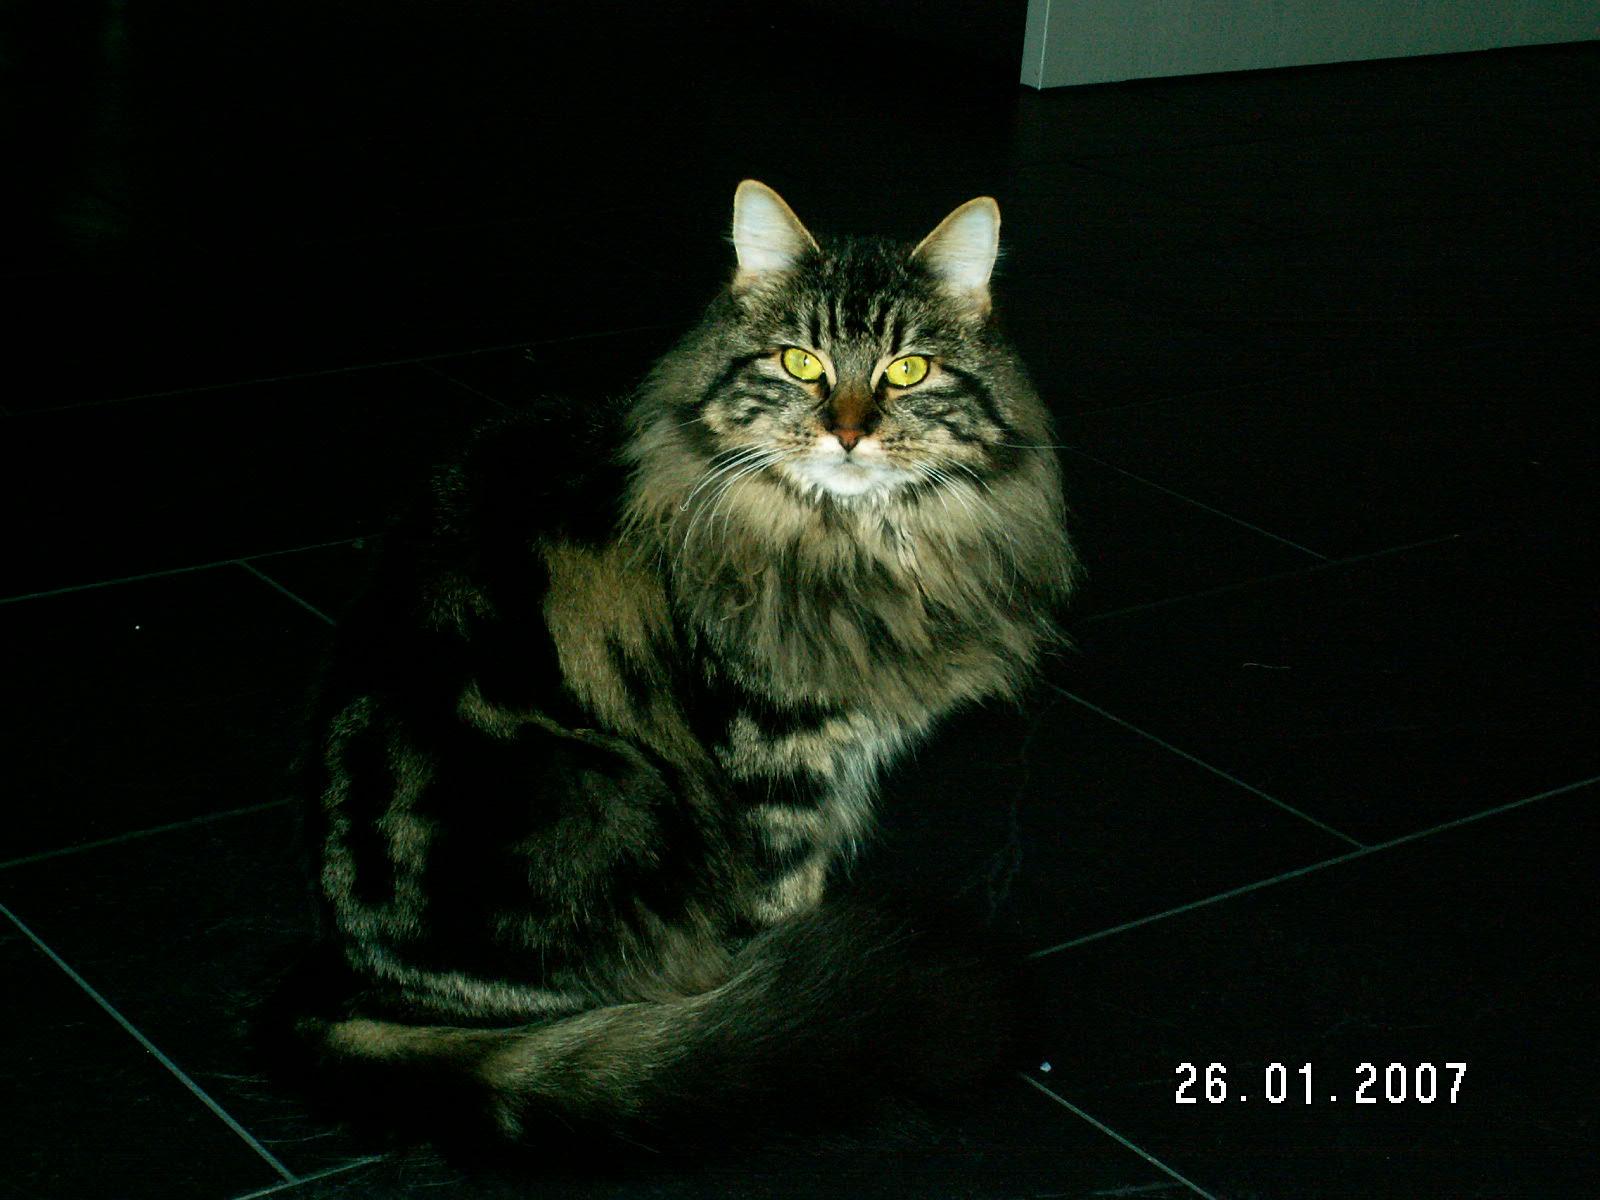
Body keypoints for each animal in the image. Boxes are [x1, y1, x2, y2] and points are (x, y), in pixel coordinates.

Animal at [272, 180, 1077, 1151]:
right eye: (801, 363)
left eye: (908, 371)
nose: (848, 435)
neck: (851, 543)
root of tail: (345, 986)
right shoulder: (776, 766)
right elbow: (777, 904)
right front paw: (782, 986)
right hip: (605, 793)